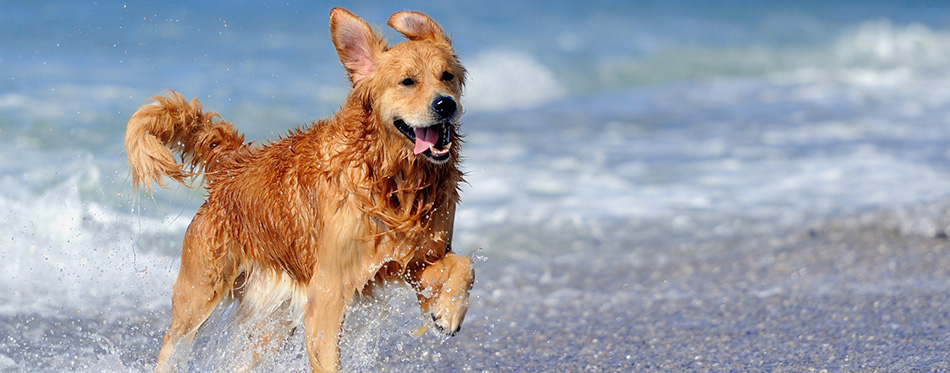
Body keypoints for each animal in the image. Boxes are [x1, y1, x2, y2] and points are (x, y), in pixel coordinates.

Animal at [128, 7, 476, 370]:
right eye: (407, 81)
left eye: (447, 76)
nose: (446, 104)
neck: (391, 177)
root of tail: (232, 165)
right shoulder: (329, 288)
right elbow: (327, 356)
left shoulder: (416, 260)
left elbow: (464, 266)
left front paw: (448, 313)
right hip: (199, 293)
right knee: (173, 342)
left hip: (272, 322)